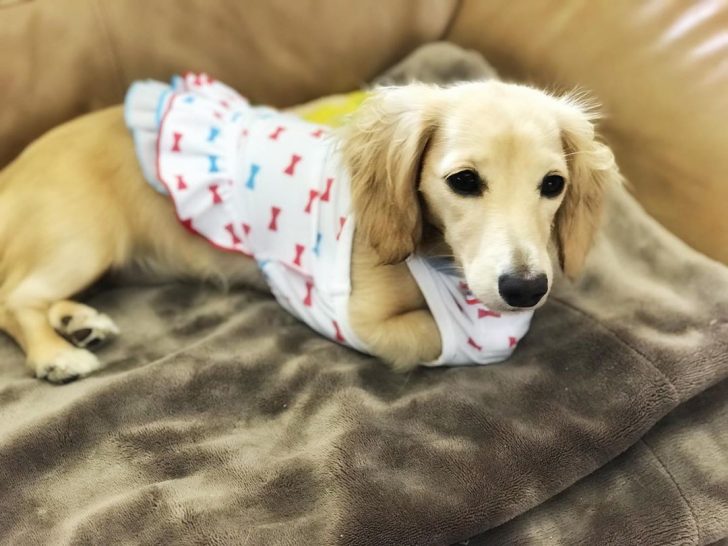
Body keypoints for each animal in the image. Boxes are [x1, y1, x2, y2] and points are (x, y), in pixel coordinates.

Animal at [0, 62, 620, 382]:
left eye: (553, 185)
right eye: (464, 181)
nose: (525, 289)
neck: (437, 254)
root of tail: (11, 171)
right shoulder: (353, 317)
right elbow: (441, 336)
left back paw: (78, 320)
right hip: (80, 238)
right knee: (14, 298)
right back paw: (57, 353)